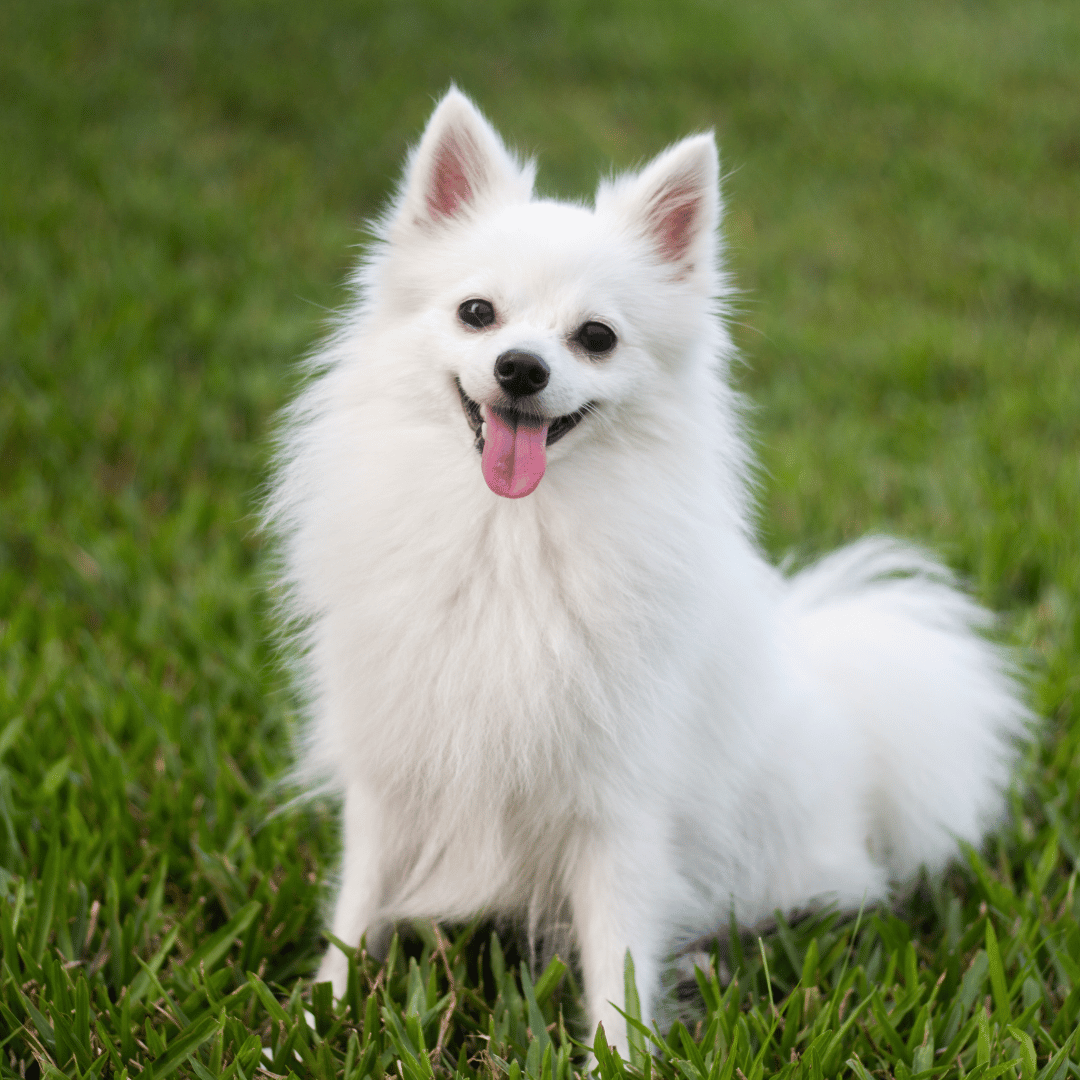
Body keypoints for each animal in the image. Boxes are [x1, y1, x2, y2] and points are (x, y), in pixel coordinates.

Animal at [267, 88, 1019, 1049]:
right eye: (477, 313)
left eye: (596, 337)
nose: (521, 365)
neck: (510, 535)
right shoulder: (392, 766)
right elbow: (356, 907)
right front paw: (317, 1016)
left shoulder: (617, 805)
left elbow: (617, 958)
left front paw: (617, 1056)